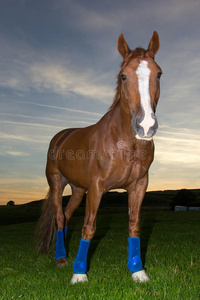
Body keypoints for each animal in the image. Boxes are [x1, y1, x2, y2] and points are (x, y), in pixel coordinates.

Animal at [36, 31, 162, 284]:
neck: (125, 143)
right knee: (59, 218)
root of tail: (61, 136)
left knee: (66, 216)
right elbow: (89, 227)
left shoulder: (139, 185)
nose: (145, 126)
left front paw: (137, 270)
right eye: (123, 76)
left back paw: (64, 255)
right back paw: (61, 259)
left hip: (77, 190)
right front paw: (79, 273)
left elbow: (134, 225)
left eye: (159, 73)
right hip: (57, 184)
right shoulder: (97, 187)